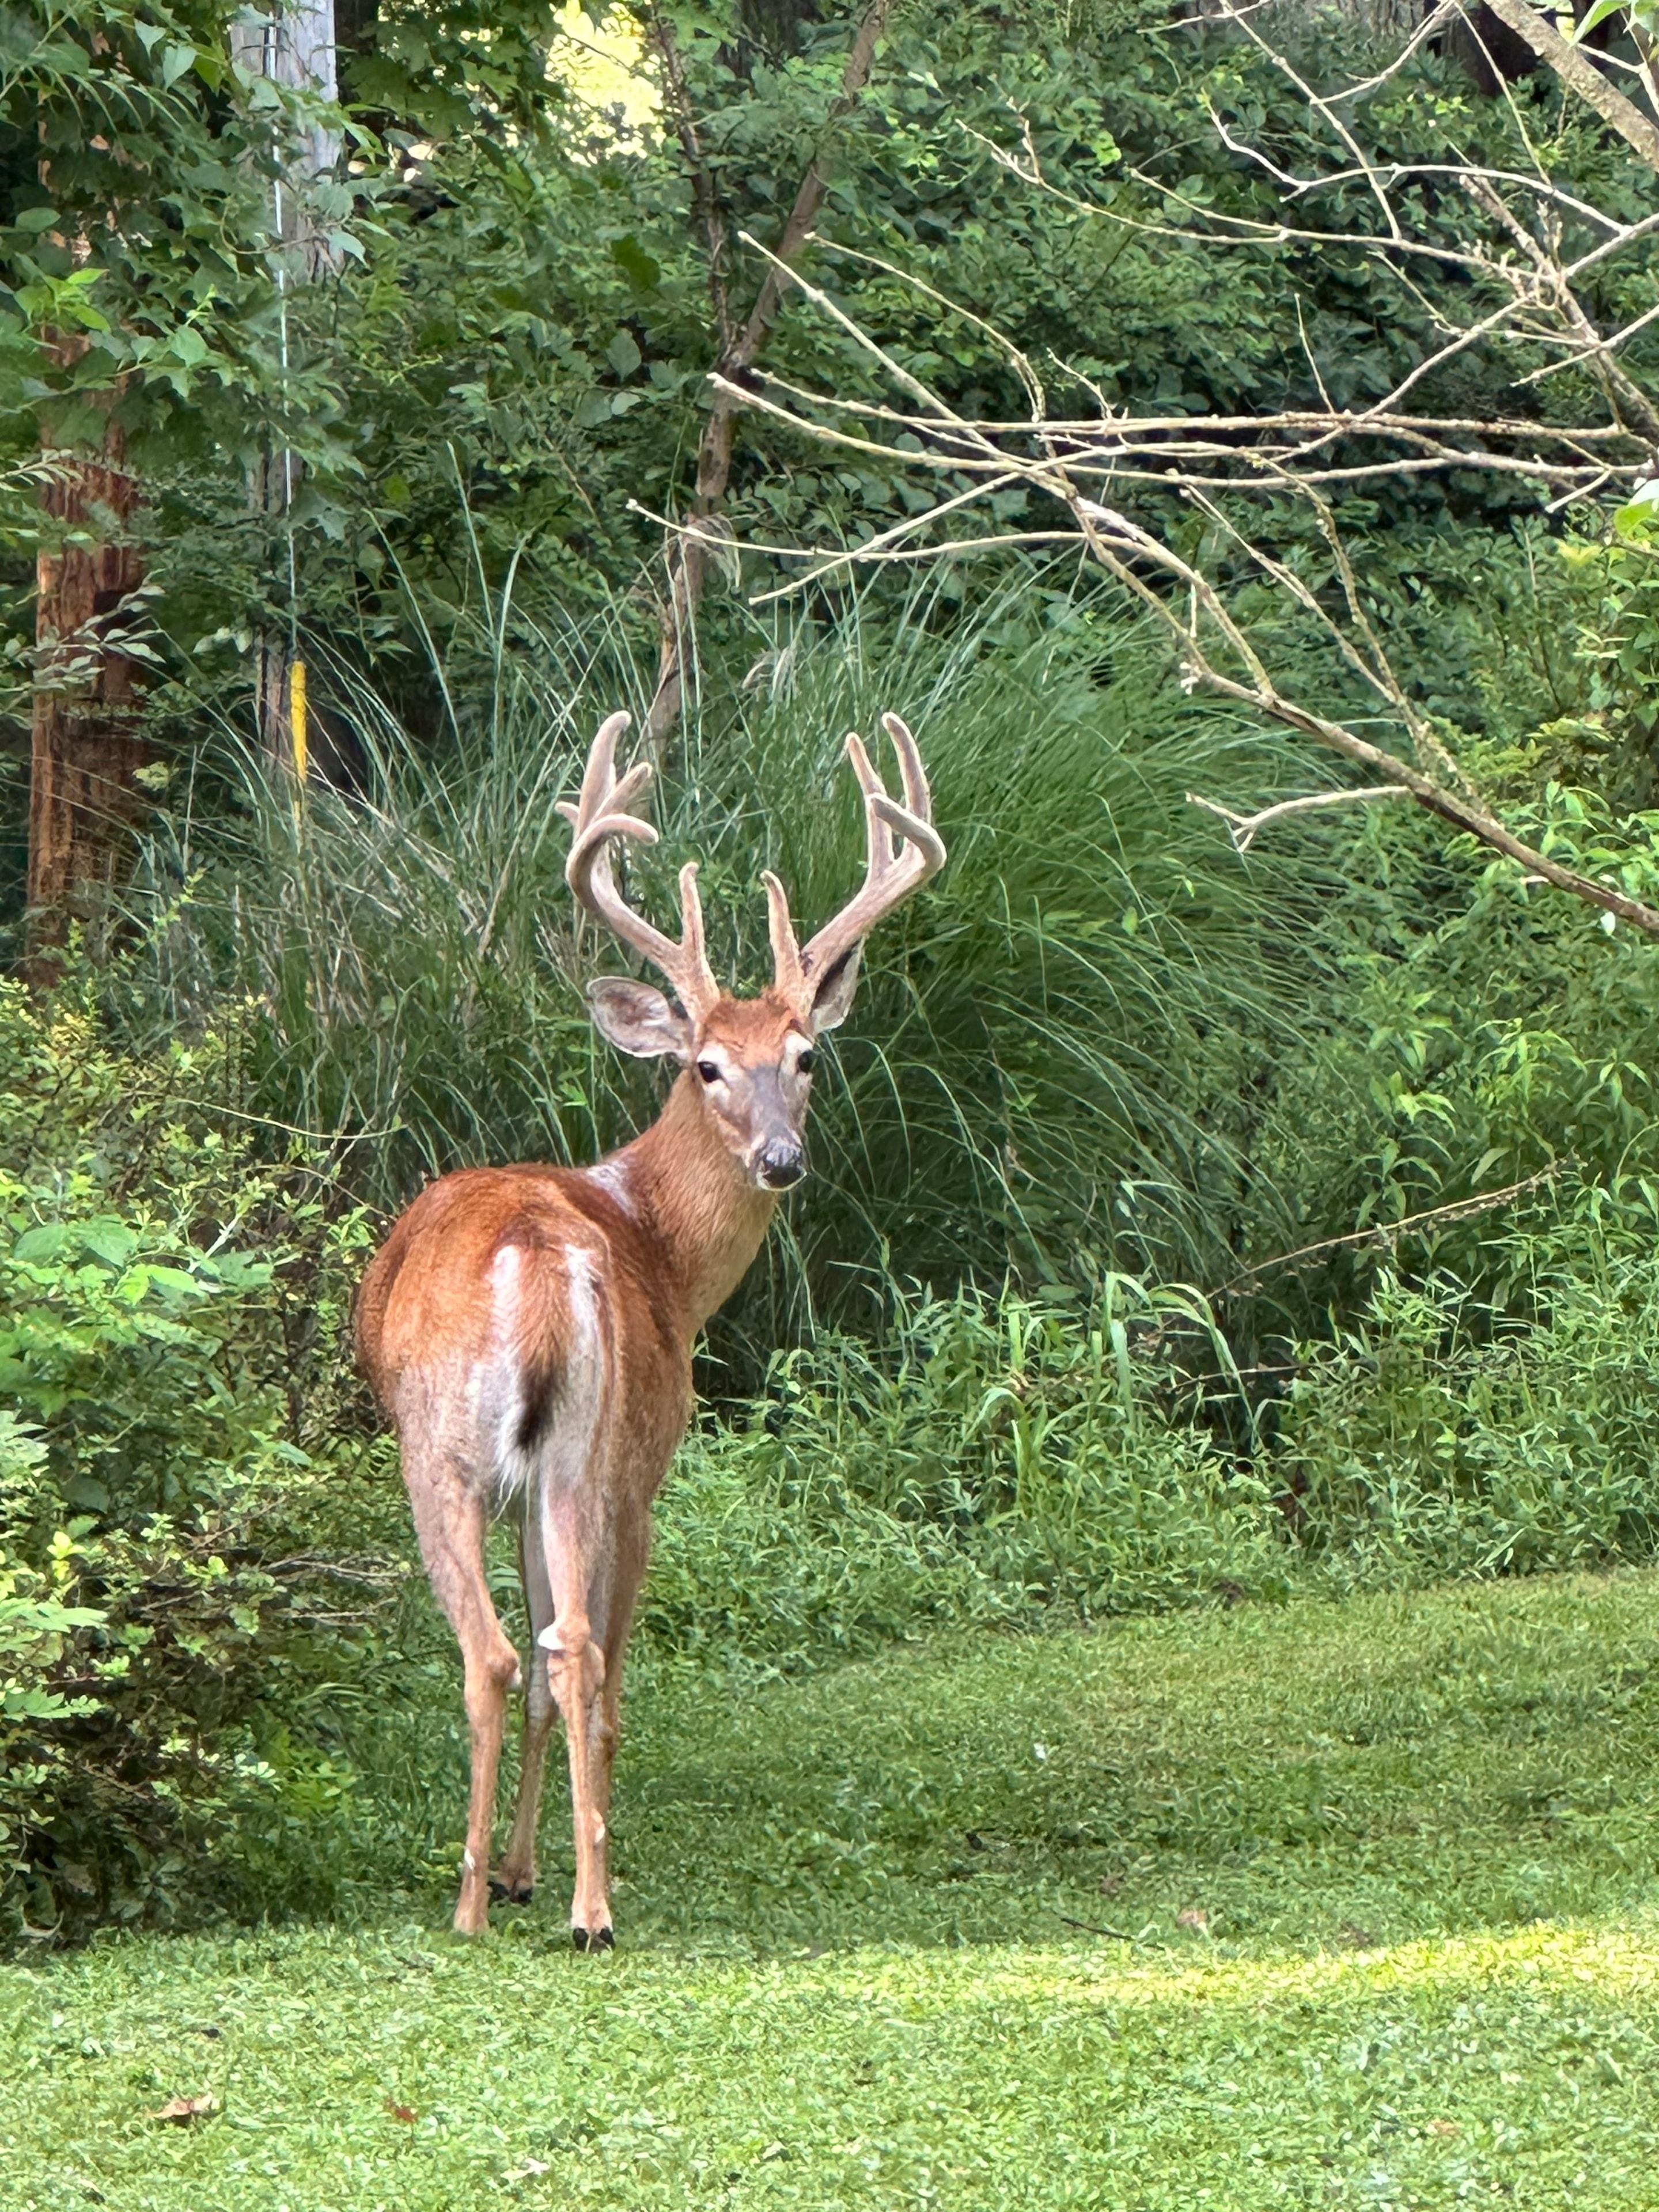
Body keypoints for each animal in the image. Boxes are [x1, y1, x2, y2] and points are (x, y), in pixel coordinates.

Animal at [355, 707, 945, 1948]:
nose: (782, 1158)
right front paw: (535, 1872)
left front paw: (522, 1875)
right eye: (707, 1064)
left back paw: (503, 1902)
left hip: (492, 1454)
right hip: (554, 1459)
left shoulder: (615, 1465)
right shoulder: (609, 1468)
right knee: (556, 1654)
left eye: (806, 1056)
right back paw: (566, 1904)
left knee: (515, 1656)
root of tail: (535, 1255)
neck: (661, 1247)